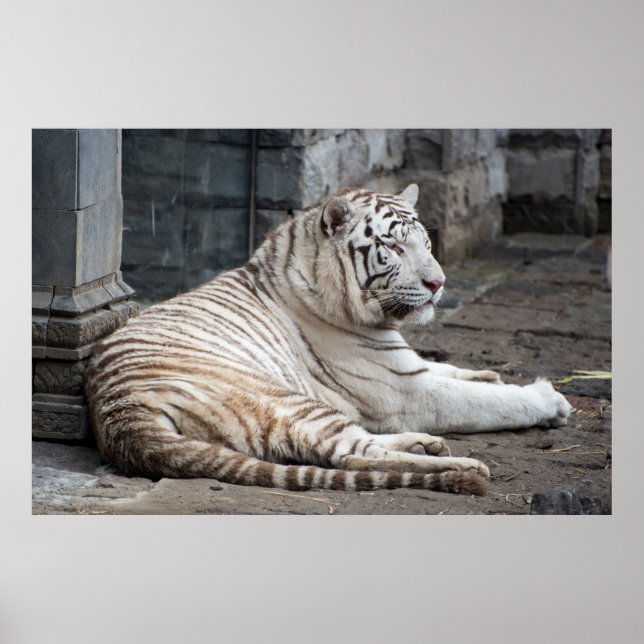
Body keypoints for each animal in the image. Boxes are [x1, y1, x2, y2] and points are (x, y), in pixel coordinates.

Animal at [85, 184, 572, 497]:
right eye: (394, 249)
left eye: (427, 243)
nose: (438, 283)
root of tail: (122, 417)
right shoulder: (403, 391)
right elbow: (484, 401)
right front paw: (547, 399)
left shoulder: (404, 363)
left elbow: (450, 368)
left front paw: (489, 375)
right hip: (289, 400)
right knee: (351, 456)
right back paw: (461, 464)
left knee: (356, 452)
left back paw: (426, 445)